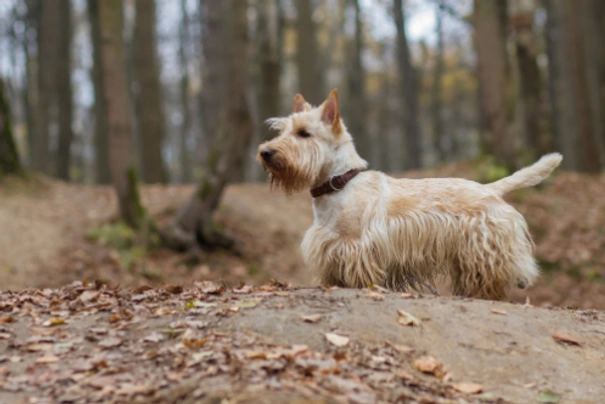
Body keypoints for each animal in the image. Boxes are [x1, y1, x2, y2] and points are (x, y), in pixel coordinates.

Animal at [256, 89, 560, 300]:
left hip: (483, 246)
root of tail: (489, 188)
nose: (265, 152)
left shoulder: (356, 247)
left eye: (304, 133)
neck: (338, 183)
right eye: (282, 130)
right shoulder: (329, 247)